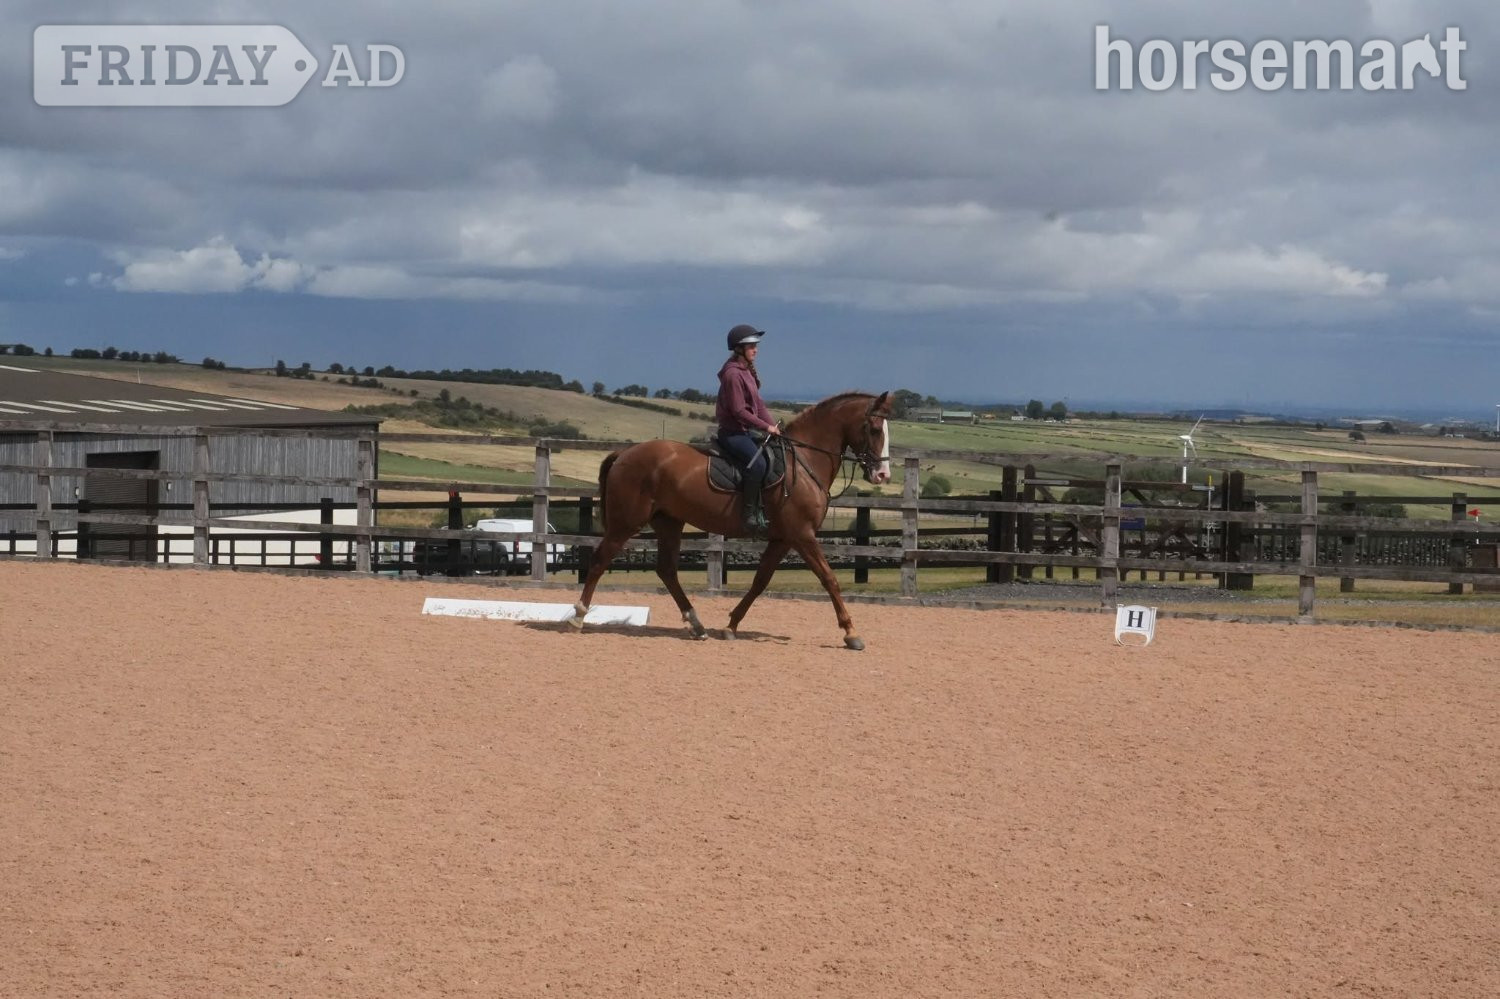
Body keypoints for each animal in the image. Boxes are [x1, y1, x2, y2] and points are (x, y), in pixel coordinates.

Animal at [568, 391, 893, 650]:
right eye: (875, 429)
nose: (882, 475)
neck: (803, 462)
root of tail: (625, 453)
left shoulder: (783, 538)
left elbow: (760, 581)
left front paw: (731, 626)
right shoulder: (802, 535)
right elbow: (829, 579)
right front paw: (851, 633)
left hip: (669, 523)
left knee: (667, 571)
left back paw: (697, 625)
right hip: (626, 523)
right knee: (599, 561)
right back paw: (579, 617)